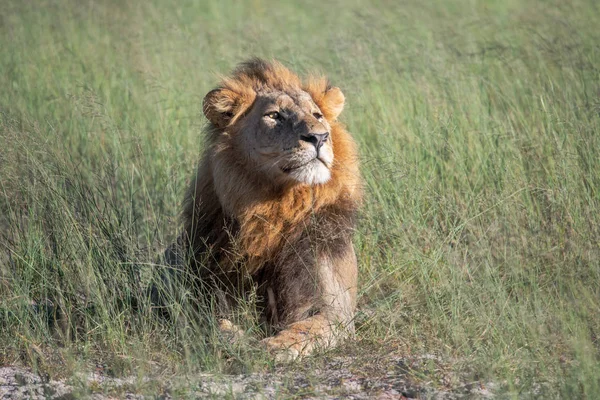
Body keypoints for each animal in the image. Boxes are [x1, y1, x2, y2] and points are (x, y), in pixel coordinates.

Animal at [170, 57, 366, 360]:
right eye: (275, 116)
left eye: (317, 115)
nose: (320, 137)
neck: (277, 205)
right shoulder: (202, 290)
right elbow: (208, 322)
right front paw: (236, 338)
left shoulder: (336, 310)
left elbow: (306, 328)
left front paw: (272, 347)